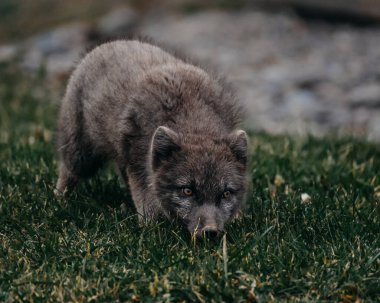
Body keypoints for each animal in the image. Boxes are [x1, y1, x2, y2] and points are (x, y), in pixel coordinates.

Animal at [55, 39, 248, 238]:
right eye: (187, 191)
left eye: (226, 193)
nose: (210, 232)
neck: (194, 120)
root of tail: (111, 43)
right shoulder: (138, 161)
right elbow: (145, 198)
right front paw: (150, 228)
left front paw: (238, 218)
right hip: (82, 154)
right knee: (69, 171)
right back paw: (59, 199)